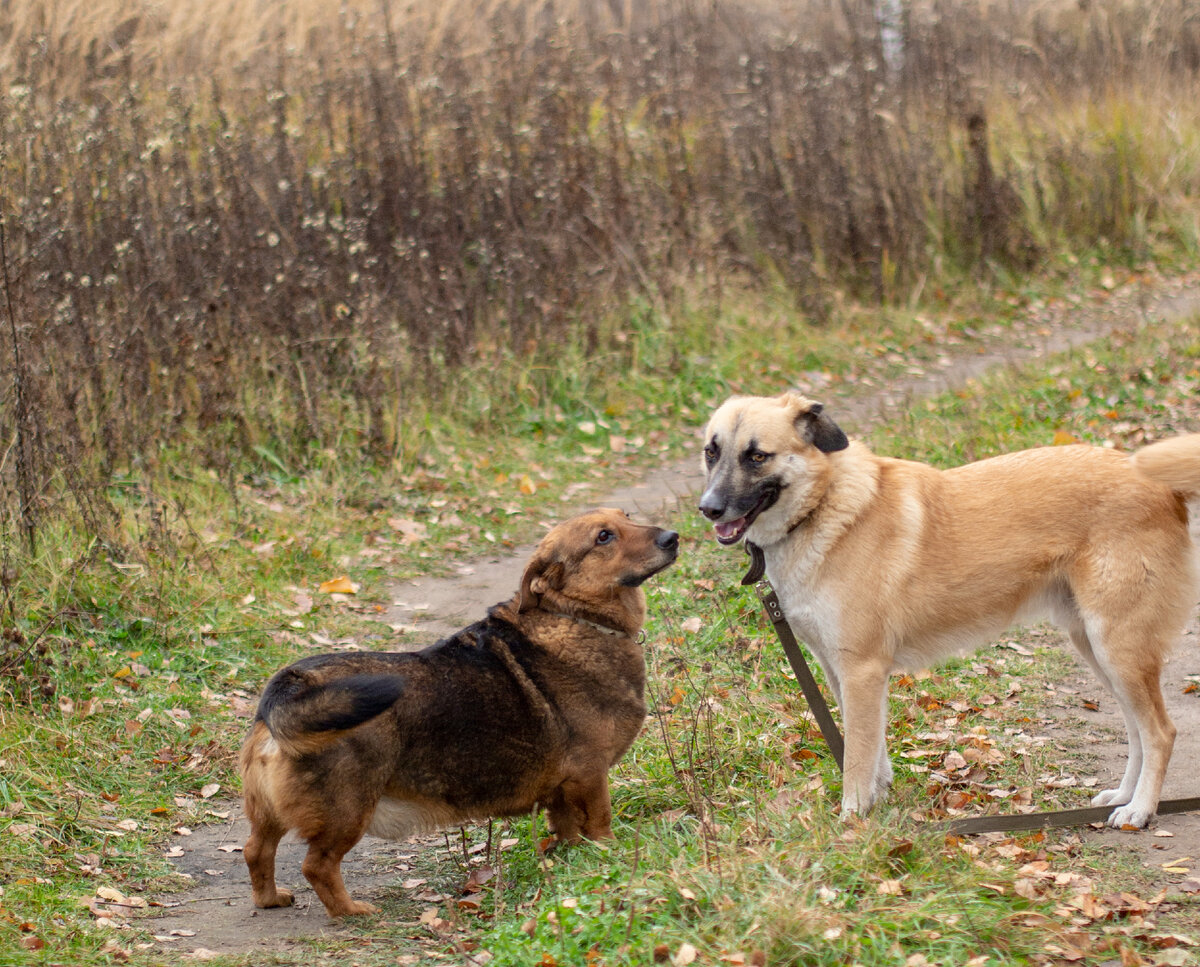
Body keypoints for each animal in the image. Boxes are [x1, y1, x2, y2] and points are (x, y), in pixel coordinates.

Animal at [238, 511, 681, 921]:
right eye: (603, 537)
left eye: (626, 518)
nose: (673, 536)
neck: (571, 618)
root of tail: (287, 688)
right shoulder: (590, 774)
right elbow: (600, 823)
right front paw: (610, 857)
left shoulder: (562, 791)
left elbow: (569, 830)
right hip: (347, 811)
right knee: (317, 865)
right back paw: (350, 911)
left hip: (268, 812)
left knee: (256, 850)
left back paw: (269, 898)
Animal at [700, 391, 1200, 830]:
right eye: (711, 452)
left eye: (757, 456)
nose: (708, 509)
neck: (824, 506)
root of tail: (1160, 486)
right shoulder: (841, 673)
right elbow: (872, 754)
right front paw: (876, 803)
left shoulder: (862, 671)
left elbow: (857, 758)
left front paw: (851, 823)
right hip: (1099, 650)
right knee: (1137, 730)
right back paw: (1124, 797)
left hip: (1118, 648)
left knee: (1160, 732)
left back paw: (1140, 810)